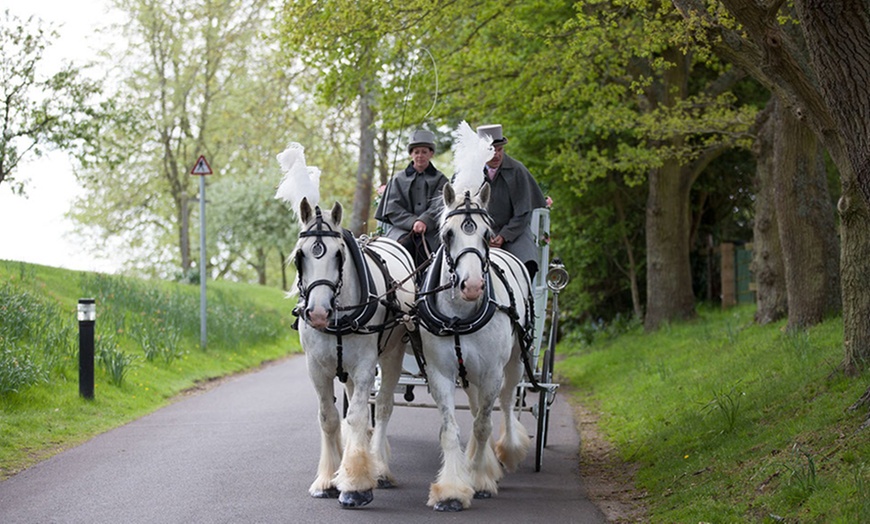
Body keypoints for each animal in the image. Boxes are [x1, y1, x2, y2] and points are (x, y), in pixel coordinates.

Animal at [278, 143, 418, 508]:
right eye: (300, 256)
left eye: (338, 255)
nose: (318, 313)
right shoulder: (317, 366)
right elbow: (329, 417)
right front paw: (328, 479)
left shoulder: (367, 364)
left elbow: (357, 416)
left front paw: (355, 484)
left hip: (392, 354)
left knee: (381, 407)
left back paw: (378, 466)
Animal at [418, 121, 536, 510]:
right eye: (446, 233)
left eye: (486, 234)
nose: (471, 286)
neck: (460, 314)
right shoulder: (441, 371)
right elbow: (450, 427)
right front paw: (453, 487)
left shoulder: (492, 370)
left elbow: (485, 424)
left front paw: (481, 476)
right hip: (469, 372)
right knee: (474, 408)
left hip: (514, 361)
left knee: (506, 403)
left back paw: (507, 452)